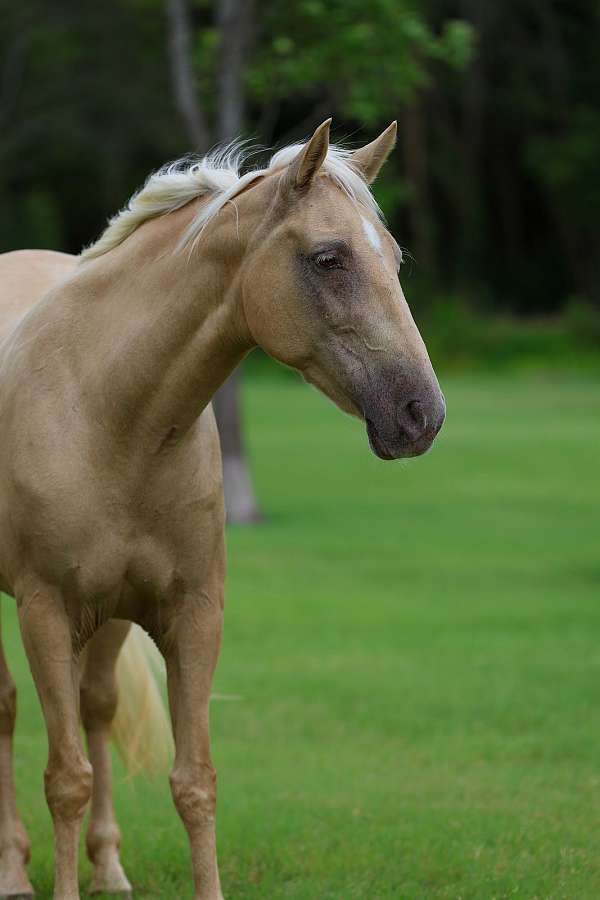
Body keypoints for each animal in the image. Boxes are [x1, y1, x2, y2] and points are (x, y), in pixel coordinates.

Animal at [0, 119, 445, 900]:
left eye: (392, 258)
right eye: (328, 258)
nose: (423, 414)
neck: (109, 412)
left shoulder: (193, 611)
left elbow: (194, 781)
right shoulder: (44, 612)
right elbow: (64, 780)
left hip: (109, 616)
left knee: (96, 706)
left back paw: (109, 867)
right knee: (5, 709)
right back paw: (14, 869)